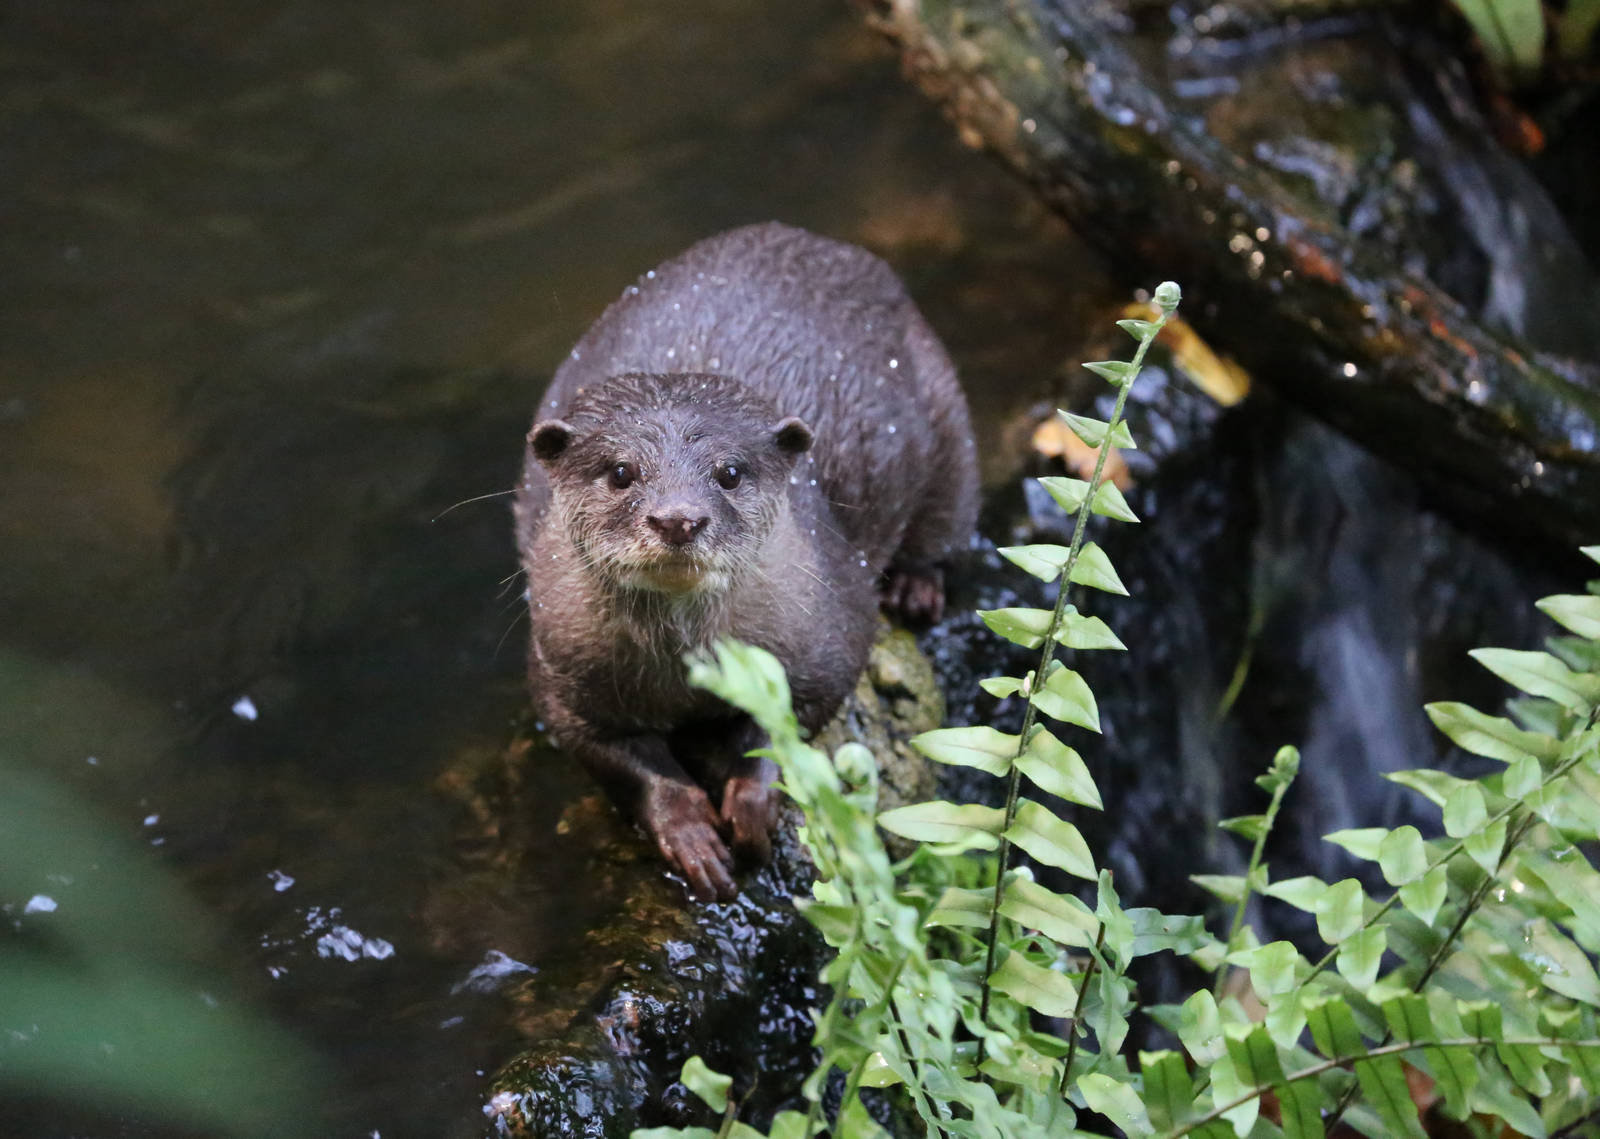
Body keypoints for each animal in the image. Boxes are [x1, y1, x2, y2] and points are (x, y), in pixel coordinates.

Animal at [515, 223, 978, 901]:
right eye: (621, 472)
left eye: (729, 472)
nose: (678, 519)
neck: (685, 671)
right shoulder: (563, 672)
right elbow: (620, 760)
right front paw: (689, 834)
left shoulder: (827, 636)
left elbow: (787, 726)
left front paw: (751, 810)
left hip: (948, 421)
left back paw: (915, 590)